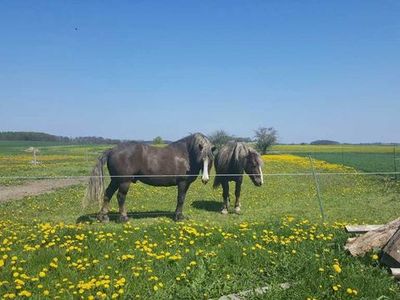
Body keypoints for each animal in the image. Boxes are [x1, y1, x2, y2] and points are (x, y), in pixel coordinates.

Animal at [85, 133, 216, 220]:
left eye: (210, 159)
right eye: (201, 159)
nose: (205, 179)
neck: (186, 154)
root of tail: (112, 150)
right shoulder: (183, 183)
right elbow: (181, 199)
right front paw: (179, 217)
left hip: (116, 180)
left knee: (108, 194)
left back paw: (103, 217)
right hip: (124, 181)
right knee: (120, 196)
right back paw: (123, 217)